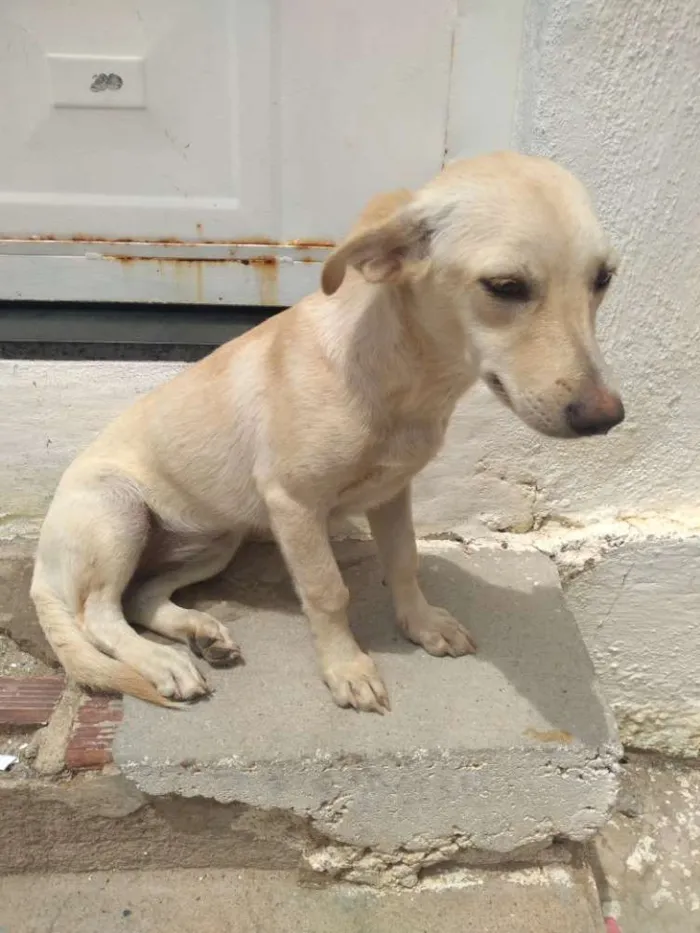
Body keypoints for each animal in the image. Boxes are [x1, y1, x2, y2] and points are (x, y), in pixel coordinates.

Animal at [31, 153, 624, 708]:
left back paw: (199, 632)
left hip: (215, 541)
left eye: (604, 279)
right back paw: (161, 662)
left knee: (140, 597)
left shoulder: (392, 492)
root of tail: (40, 572)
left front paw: (421, 625)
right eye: (505, 286)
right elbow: (327, 590)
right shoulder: (293, 505)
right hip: (119, 514)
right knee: (98, 615)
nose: (607, 419)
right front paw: (347, 668)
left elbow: (404, 561)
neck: (400, 381)